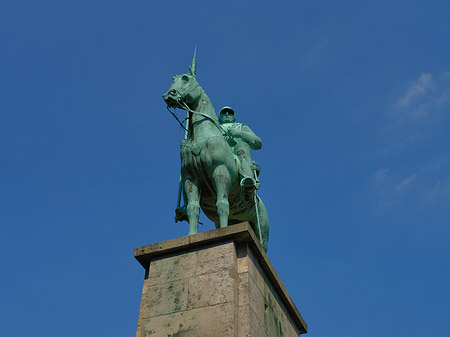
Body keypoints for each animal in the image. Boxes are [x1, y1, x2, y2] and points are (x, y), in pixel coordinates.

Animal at [163, 53, 268, 251]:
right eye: (173, 80)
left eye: (186, 78)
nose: (169, 95)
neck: (201, 137)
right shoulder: (190, 177)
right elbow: (193, 208)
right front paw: (191, 236)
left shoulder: (220, 172)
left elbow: (222, 203)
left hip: (261, 231)